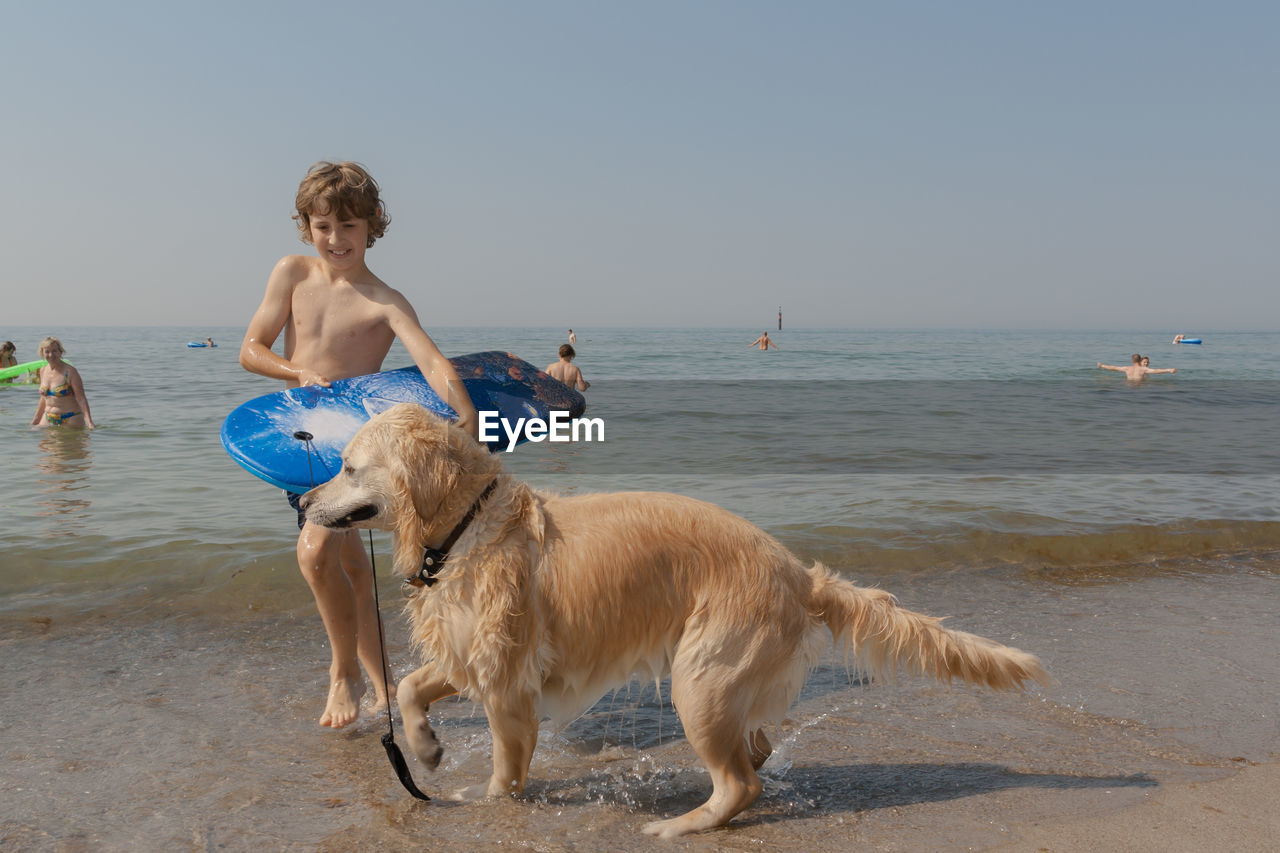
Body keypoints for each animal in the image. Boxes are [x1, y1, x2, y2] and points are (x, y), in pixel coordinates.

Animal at [302, 402, 1049, 835]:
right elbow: (409, 685)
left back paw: (680, 825)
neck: (465, 525)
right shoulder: (473, 654)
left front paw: (484, 802)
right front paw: (426, 747)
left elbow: (505, 774)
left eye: (348, 468)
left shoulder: (509, 684)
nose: (303, 500)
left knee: (741, 781)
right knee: (756, 753)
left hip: (702, 676)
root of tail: (799, 573)